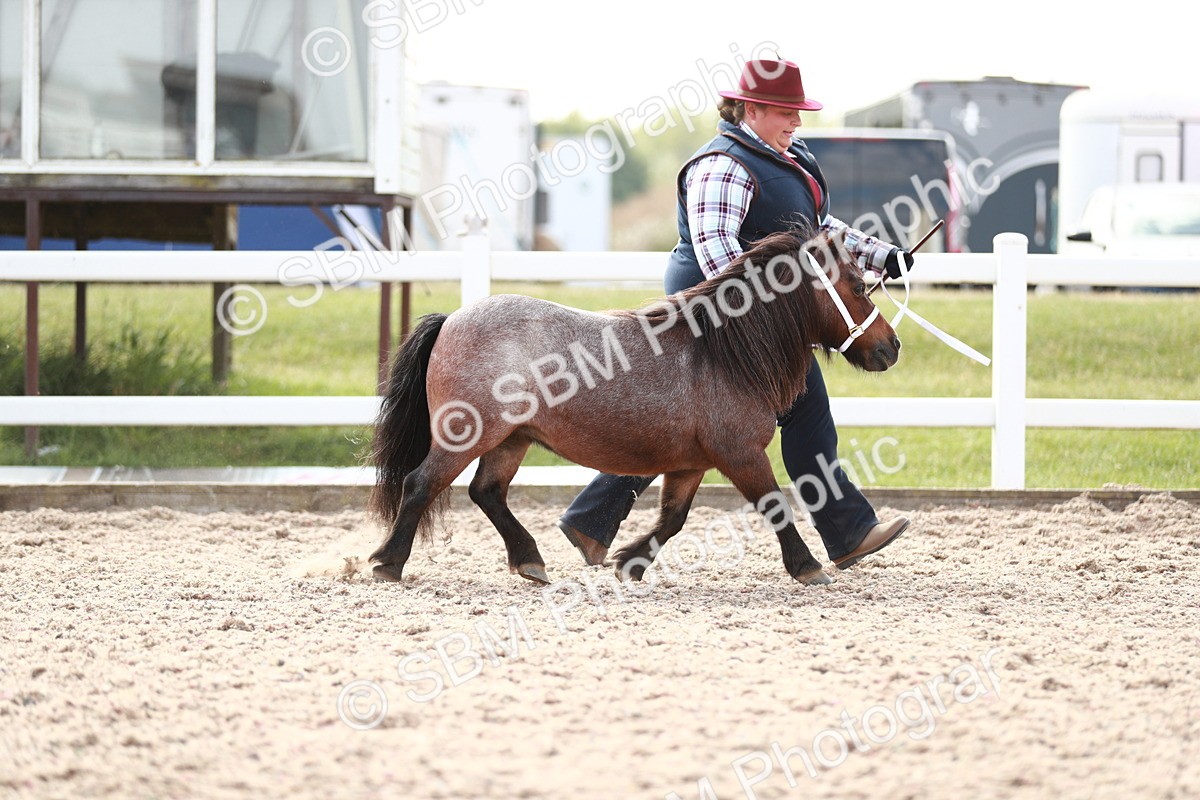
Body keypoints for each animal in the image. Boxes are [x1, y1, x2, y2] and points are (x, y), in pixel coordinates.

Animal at [367, 228, 901, 586]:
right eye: (858, 286)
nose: (891, 347)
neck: (721, 354)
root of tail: (452, 318)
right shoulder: (741, 454)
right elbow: (775, 506)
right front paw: (808, 567)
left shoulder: (690, 464)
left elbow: (672, 520)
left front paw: (630, 563)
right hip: (467, 435)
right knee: (420, 484)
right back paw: (388, 562)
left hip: (512, 439)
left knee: (488, 493)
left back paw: (530, 560)